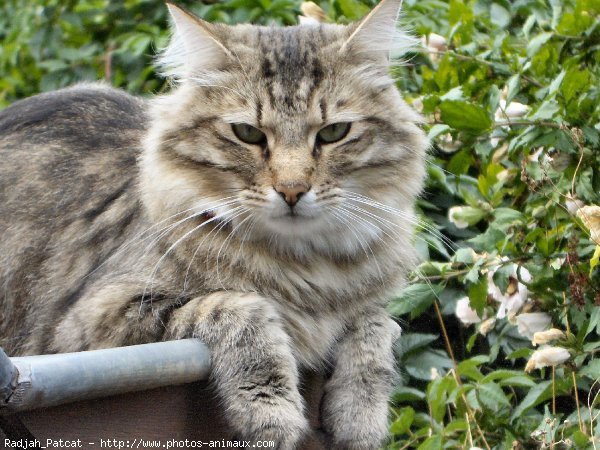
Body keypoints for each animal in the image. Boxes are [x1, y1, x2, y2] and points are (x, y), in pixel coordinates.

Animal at [1, 1, 432, 448]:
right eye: (247, 133)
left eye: (334, 132)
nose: (292, 190)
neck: (307, 270)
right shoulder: (90, 328)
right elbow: (236, 307)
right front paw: (272, 415)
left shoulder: (369, 307)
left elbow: (376, 327)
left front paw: (360, 416)